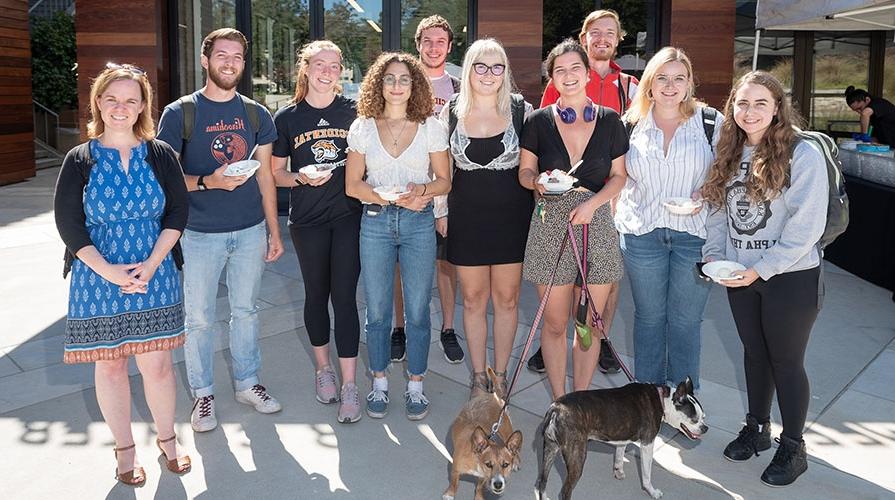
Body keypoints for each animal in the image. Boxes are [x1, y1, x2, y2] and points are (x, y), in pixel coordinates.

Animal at [442, 368, 520, 500]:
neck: (477, 459)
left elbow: (479, 487)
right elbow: (454, 484)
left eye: (505, 465)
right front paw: (450, 494)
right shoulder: (455, 471)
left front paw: (478, 497)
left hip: (506, 430)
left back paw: (517, 460)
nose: (498, 484)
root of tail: (493, 396)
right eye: (488, 464)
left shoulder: (483, 478)